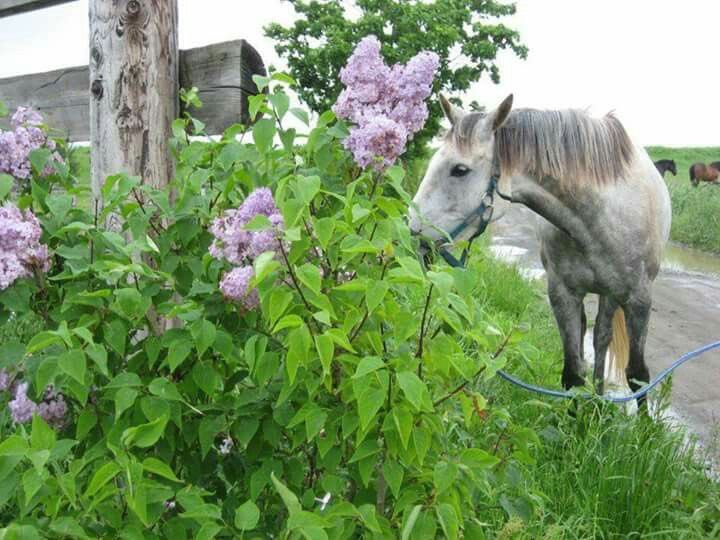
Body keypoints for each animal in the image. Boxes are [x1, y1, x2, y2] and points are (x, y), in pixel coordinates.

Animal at [408, 94, 671, 405]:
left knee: (602, 338)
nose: (412, 233)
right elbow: (573, 374)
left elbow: (637, 376)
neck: (600, 216)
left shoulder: (639, 299)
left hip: (613, 295)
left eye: (459, 170)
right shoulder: (562, 294)